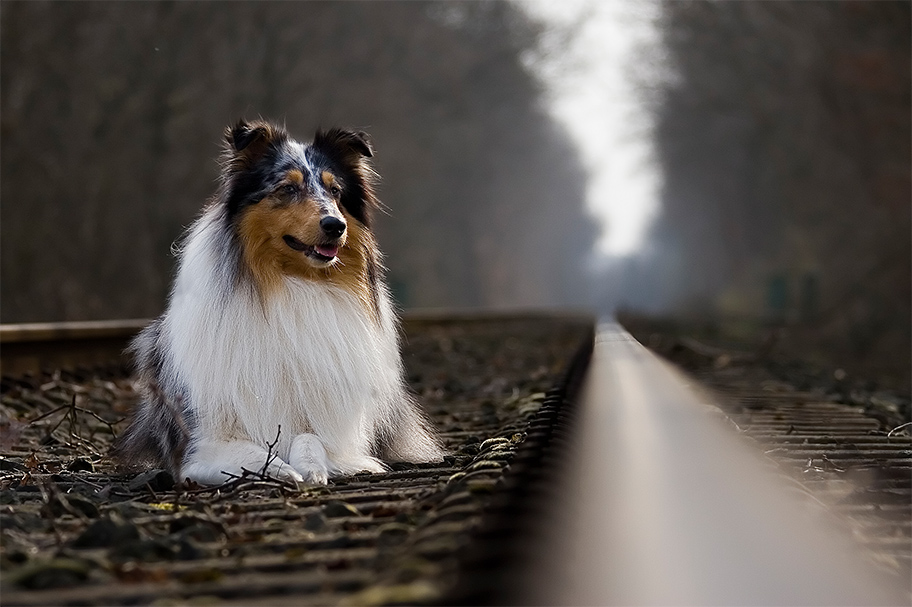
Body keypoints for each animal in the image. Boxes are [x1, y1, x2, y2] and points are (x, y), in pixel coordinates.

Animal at [116, 121, 444, 486]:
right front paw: (279, 469)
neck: (290, 286)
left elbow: (310, 439)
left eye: (336, 191)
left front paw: (309, 469)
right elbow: (252, 453)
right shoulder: (201, 447)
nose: (336, 225)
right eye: (287, 188)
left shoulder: (332, 434)